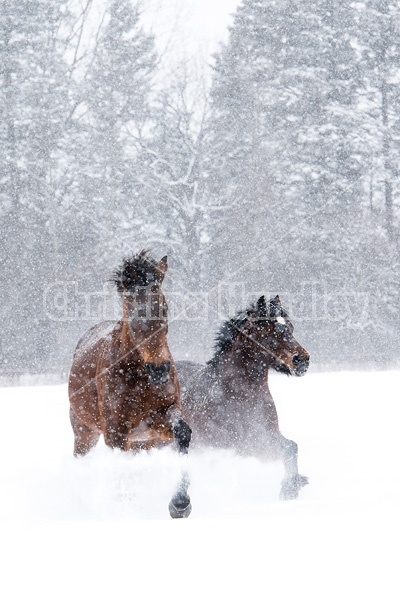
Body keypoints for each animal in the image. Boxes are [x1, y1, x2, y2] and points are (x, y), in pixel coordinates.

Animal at [68, 251, 192, 516]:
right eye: (130, 308)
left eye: (163, 306)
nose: (159, 369)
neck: (139, 378)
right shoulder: (115, 432)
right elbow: (121, 472)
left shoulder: (160, 417)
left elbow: (183, 433)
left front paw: (180, 504)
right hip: (84, 432)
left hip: (143, 442)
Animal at [177, 292, 310, 500]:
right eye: (270, 331)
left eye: (290, 327)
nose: (302, 360)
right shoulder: (245, 444)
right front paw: (289, 488)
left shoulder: (266, 434)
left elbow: (291, 446)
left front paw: (292, 487)